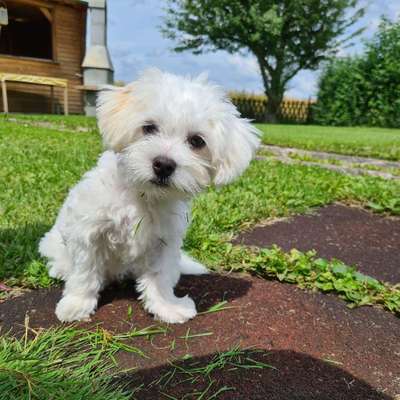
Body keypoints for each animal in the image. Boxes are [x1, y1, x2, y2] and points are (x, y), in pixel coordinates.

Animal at [39, 69, 260, 324]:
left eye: (196, 141)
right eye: (149, 128)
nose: (164, 164)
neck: (143, 196)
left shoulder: (164, 242)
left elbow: (160, 278)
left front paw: (167, 307)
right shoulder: (88, 232)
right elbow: (85, 272)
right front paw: (76, 304)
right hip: (52, 242)